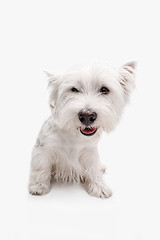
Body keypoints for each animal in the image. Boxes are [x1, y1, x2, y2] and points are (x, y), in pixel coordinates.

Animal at [28, 61, 135, 199]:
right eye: (74, 89)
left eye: (104, 90)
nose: (87, 116)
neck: (74, 135)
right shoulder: (43, 149)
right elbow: (41, 168)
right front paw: (38, 186)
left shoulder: (90, 151)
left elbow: (93, 169)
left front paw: (99, 187)